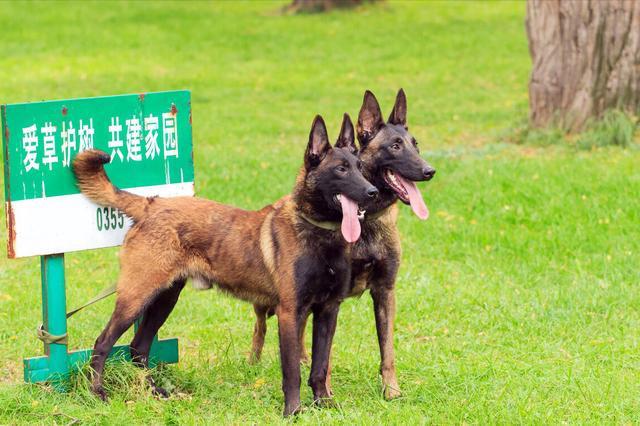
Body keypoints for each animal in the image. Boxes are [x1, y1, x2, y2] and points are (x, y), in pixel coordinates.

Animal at [72, 114, 378, 416]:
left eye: (360, 168)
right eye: (341, 170)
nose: (373, 192)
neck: (319, 233)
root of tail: (151, 204)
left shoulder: (328, 312)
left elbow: (319, 366)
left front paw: (323, 403)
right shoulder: (291, 314)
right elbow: (293, 371)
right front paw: (293, 411)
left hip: (164, 298)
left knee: (138, 348)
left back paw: (153, 392)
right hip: (137, 297)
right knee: (103, 343)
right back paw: (97, 393)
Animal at [249, 89, 436, 400]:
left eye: (415, 145)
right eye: (395, 146)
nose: (429, 171)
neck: (365, 223)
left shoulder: (384, 291)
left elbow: (387, 349)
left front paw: (391, 390)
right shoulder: (333, 298)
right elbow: (326, 356)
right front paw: (325, 391)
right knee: (261, 325)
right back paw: (254, 359)